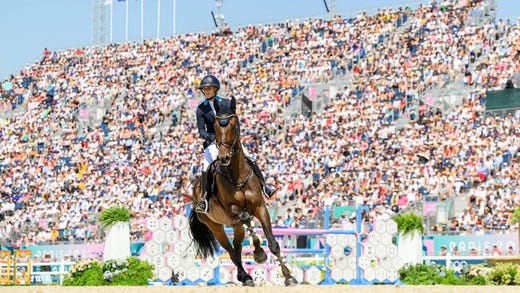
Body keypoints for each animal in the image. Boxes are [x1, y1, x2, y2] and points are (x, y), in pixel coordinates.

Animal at [189, 98, 298, 286]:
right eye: (215, 126)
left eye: (234, 124)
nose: (224, 157)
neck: (237, 174)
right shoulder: (233, 210)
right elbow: (247, 218)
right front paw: (259, 253)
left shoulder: (260, 207)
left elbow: (273, 243)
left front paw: (288, 276)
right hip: (216, 226)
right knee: (231, 250)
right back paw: (246, 276)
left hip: (235, 225)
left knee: (237, 246)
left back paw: (243, 276)